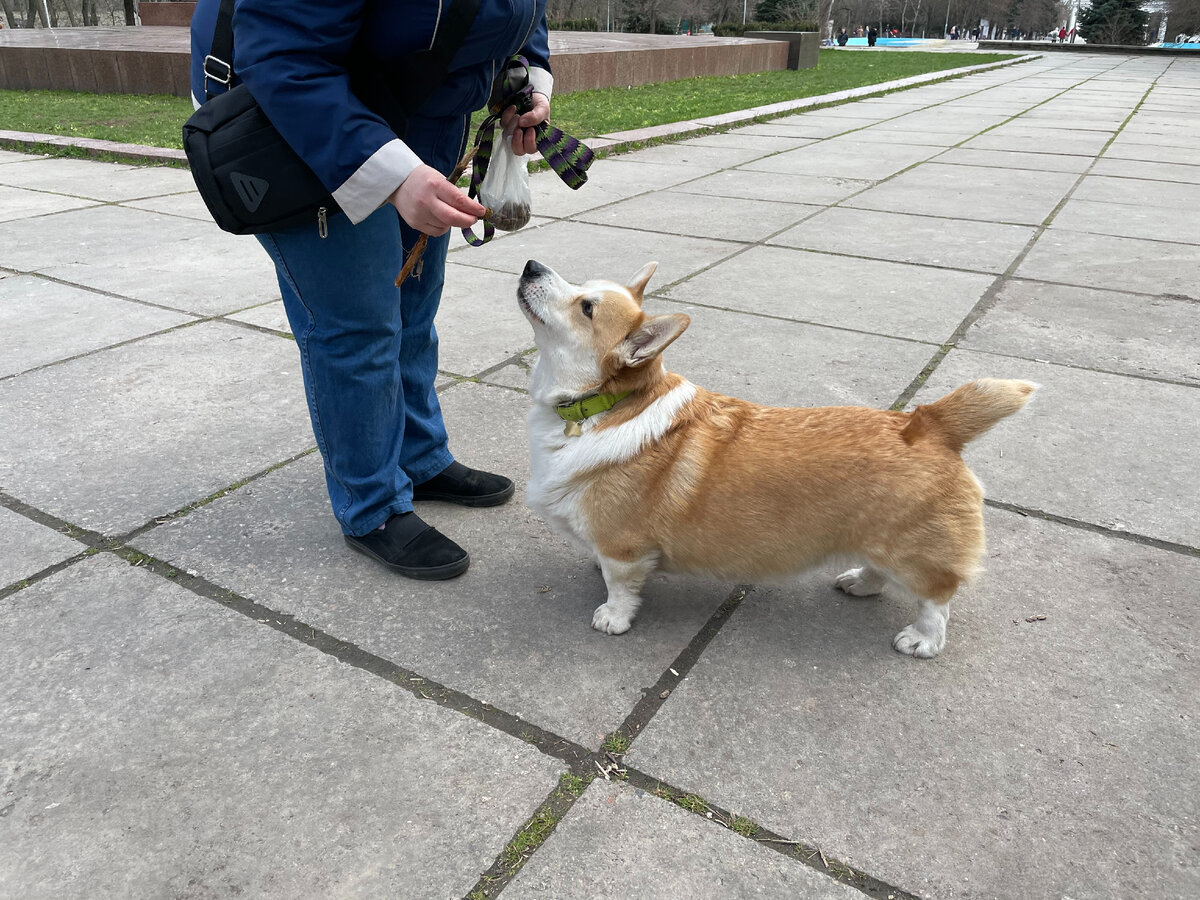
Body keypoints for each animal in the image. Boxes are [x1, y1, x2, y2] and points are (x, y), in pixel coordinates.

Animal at [516, 256, 1032, 657]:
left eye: (586, 307)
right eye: (582, 285)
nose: (530, 265)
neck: (601, 407)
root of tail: (932, 424)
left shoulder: (624, 549)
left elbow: (621, 587)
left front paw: (612, 616)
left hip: (911, 549)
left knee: (936, 597)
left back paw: (922, 640)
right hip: (877, 535)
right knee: (880, 569)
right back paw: (860, 582)